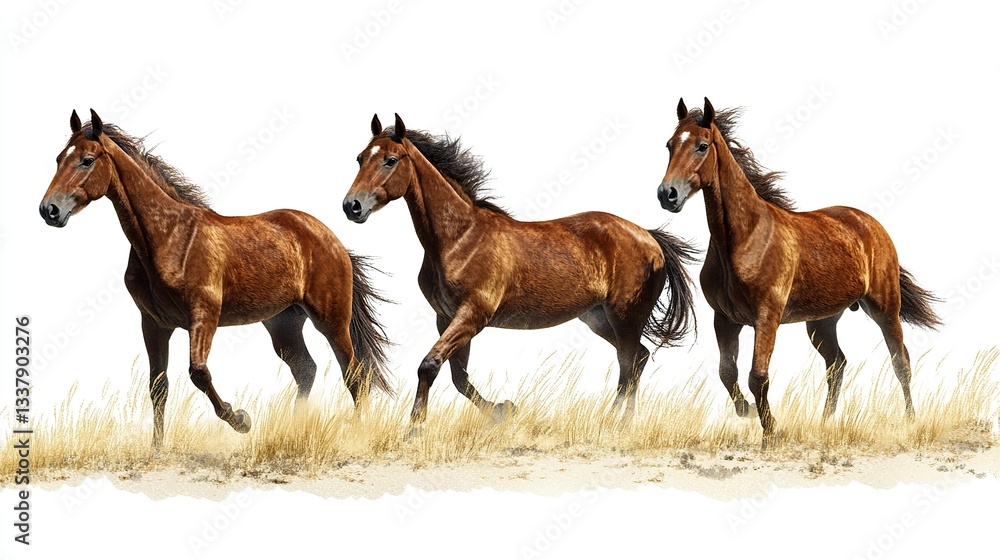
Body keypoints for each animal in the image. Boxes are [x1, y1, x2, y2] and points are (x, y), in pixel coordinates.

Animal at [39, 109, 393, 450]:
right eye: (58, 158)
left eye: (87, 160)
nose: (49, 210)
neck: (169, 237)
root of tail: (334, 241)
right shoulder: (154, 324)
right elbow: (158, 386)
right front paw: (157, 449)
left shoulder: (203, 317)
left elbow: (198, 373)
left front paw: (241, 420)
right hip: (284, 324)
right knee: (306, 369)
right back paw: (293, 431)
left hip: (331, 321)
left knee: (355, 374)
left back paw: (355, 435)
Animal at [342, 113, 698, 431]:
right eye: (360, 158)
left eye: (390, 160)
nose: (351, 206)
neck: (459, 237)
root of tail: (649, 236)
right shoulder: (447, 318)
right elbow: (458, 377)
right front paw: (503, 410)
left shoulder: (472, 315)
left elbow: (430, 365)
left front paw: (415, 427)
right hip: (597, 317)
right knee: (638, 358)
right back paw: (617, 421)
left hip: (625, 315)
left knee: (629, 361)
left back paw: (616, 423)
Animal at [656, 98, 940, 448]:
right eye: (670, 145)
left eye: (702, 146)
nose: (667, 194)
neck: (745, 238)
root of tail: (871, 224)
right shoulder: (725, 319)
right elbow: (727, 372)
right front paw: (746, 411)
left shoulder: (766, 318)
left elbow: (757, 376)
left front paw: (770, 434)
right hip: (822, 321)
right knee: (837, 364)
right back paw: (825, 423)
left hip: (885, 308)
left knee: (900, 361)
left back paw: (911, 421)